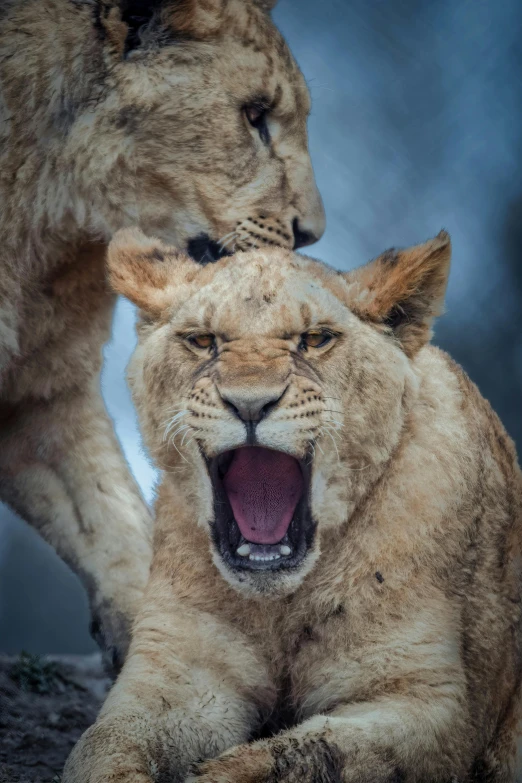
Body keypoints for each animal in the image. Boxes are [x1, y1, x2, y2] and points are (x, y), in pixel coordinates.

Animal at [64, 230, 520, 780]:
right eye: (203, 340)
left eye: (316, 339)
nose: (249, 404)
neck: (279, 605)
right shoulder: (177, 673)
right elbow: (102, 745)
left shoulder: (431, 702)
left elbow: (302, 755)